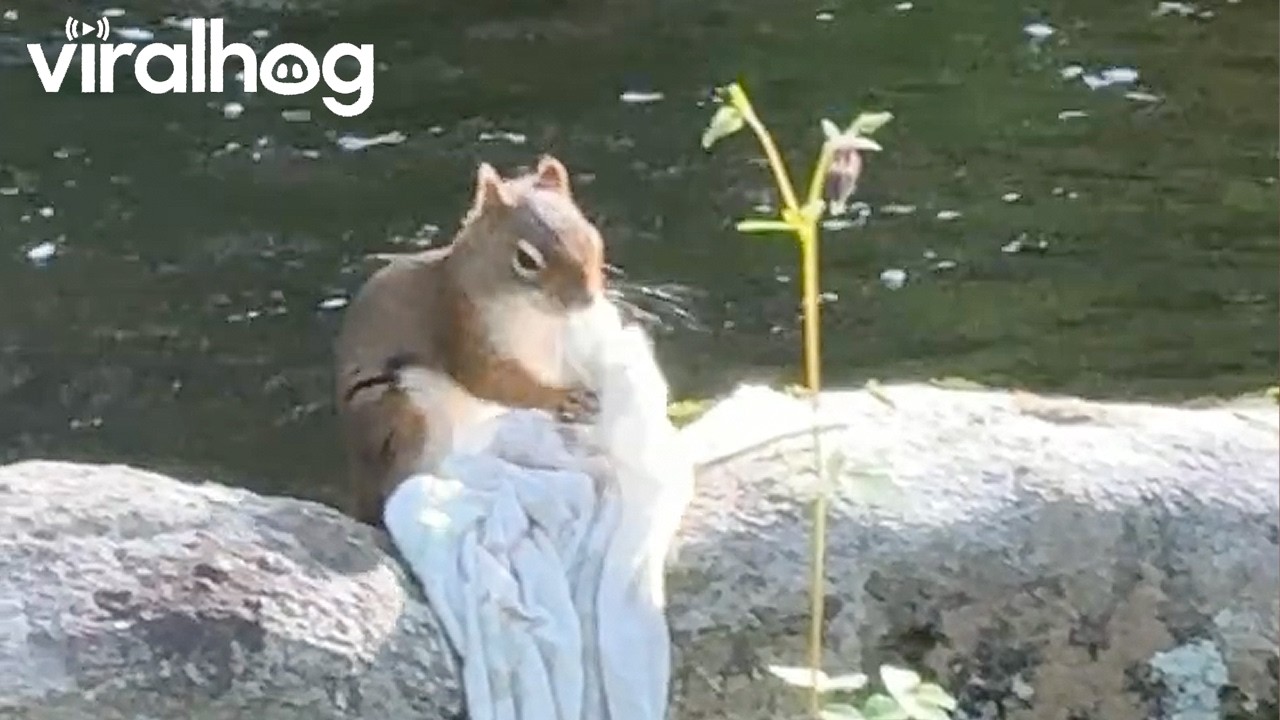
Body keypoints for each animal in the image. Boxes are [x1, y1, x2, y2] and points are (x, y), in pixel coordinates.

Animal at [332, 155, 608, 527]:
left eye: (591, 236)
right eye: (526, 259)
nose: (586, 300)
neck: (536, 319)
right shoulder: (460, 330)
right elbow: (492, 381)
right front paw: (566, 398)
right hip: (404, 417)